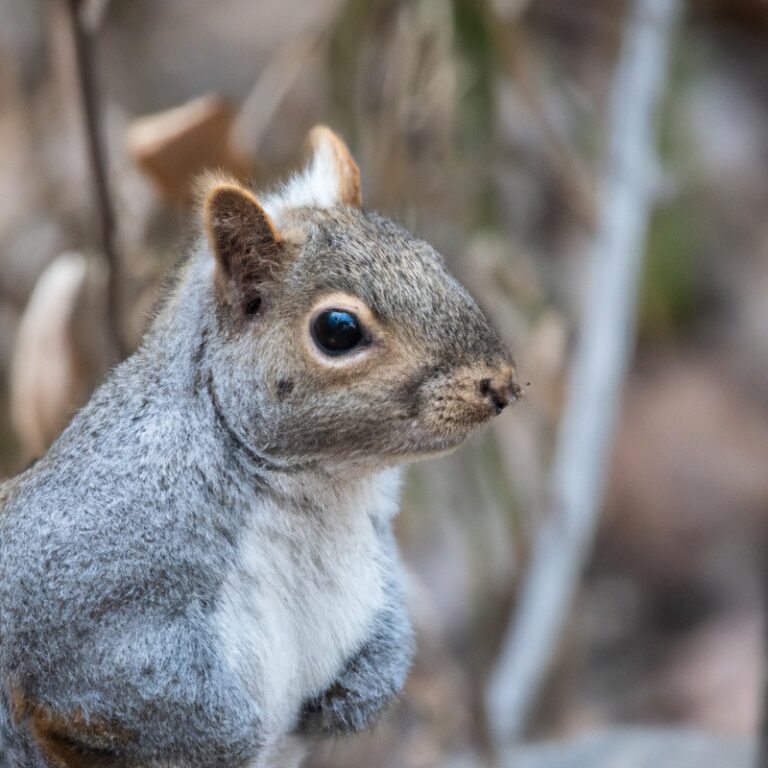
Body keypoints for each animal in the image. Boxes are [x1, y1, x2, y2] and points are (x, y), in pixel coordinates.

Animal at [0, 127, 520, 768]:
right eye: (338, 329)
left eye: (430, 260)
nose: (501, 384)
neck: (319, 487)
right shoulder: (78, 589)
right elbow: (101, 691)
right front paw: (231, 733)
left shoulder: (377, 556)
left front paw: (363, 690)